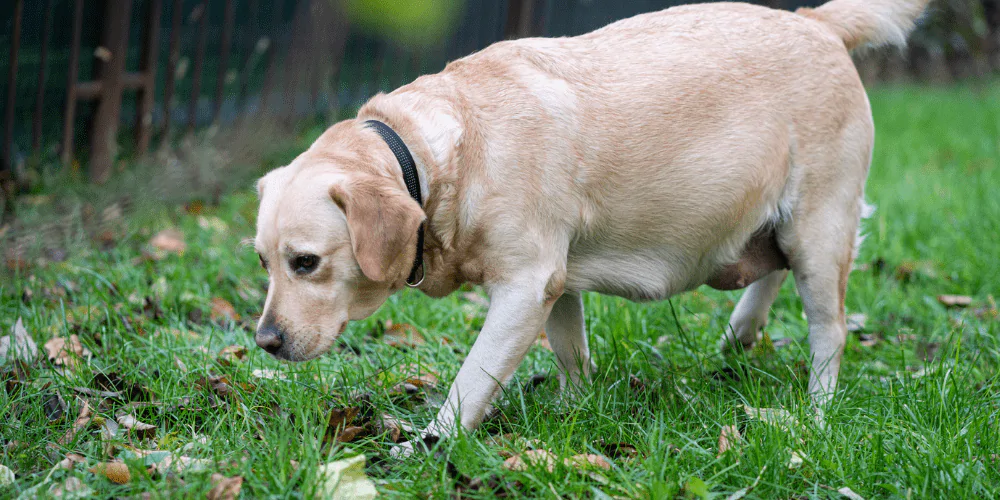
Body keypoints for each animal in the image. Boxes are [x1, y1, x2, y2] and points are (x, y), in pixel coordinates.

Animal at [254, 0, 932, 454]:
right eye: (263, 262)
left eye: (306, 262)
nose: (263, 342)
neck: (436, 155)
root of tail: (815, 21)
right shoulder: (557, 286)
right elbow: (571, 354)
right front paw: (574, 412)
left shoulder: (524, 286)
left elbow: (471, 381)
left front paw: (428, 445)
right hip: (777, 228)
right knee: (771, 273)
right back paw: (740, 332)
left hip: (820, 227)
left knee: (829, 331)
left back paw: (816, 414)